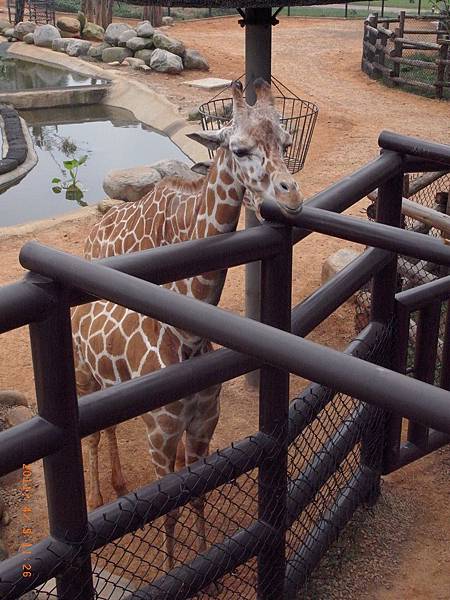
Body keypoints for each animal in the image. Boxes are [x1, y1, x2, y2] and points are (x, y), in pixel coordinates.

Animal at [72, 78, 302, 568]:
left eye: (286, 142)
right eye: (239, 148)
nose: (292, 195)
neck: (188, 338)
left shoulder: (203, 425)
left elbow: (196, 492)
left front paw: (203, 559)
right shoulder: (160, 433)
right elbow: (169, 505)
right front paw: (175, 568)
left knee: (110, 425)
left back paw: (117, 484)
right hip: (84, 379)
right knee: (94, 434)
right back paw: (99, 495)